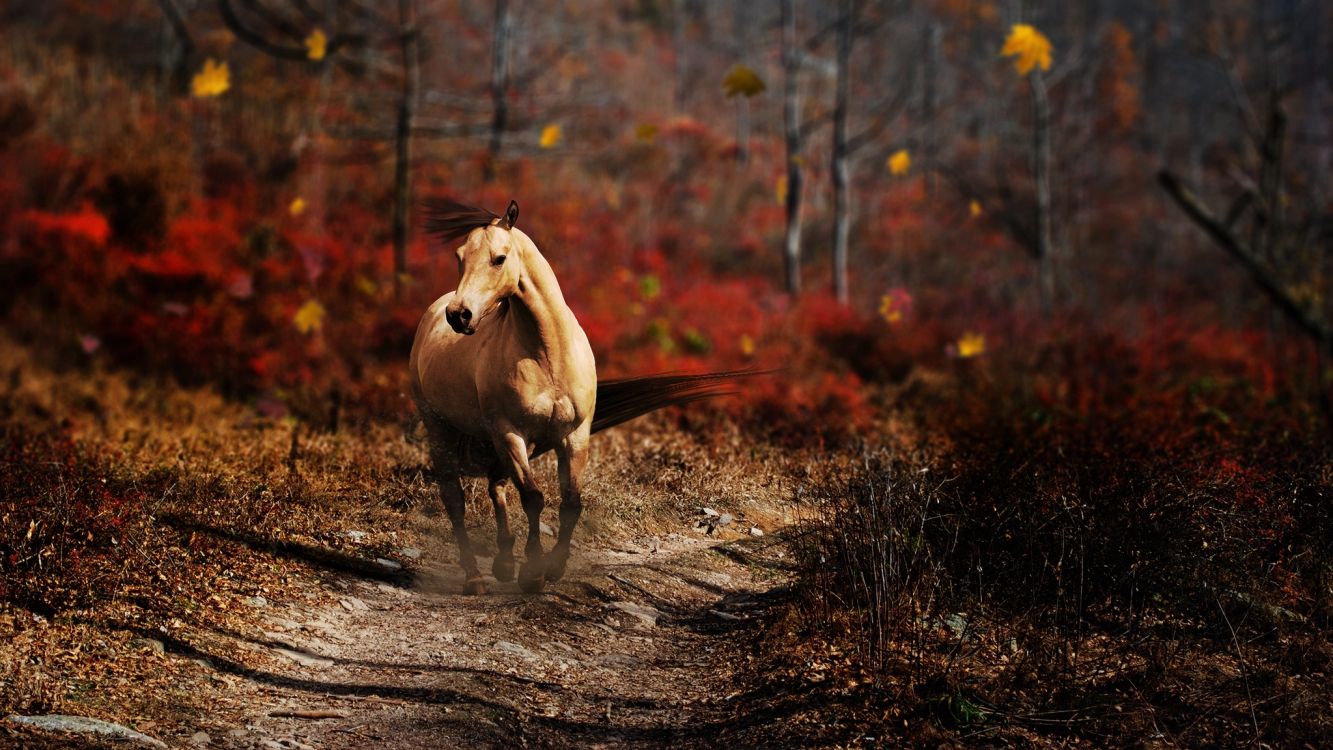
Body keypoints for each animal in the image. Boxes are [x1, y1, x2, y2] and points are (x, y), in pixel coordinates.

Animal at [407, 201, 741, 599]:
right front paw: (533, 573)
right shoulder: (511, 433)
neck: (547, 353)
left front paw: (553, 567)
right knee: (455, 499)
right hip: (444, 429)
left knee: (496, 486)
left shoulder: (574, 435)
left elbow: (571, 503)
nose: (459, 315)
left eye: (499, 258)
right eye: (459, 257)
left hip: (497, 439)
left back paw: (503, 564)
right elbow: (533, 498)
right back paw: (475, 578)